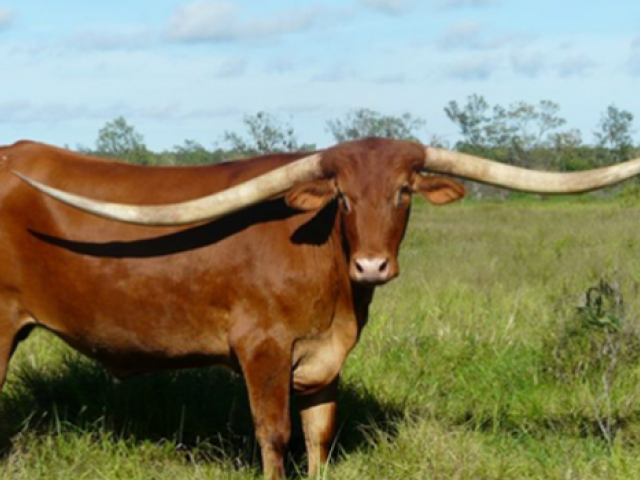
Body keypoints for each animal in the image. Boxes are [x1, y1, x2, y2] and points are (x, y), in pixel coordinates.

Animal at [3, 137, 640, 478]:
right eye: (343, 197)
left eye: (403, 192)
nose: (372, 267)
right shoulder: (262, 349)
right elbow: (275, 435)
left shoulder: (323, 359)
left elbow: (318, 435)